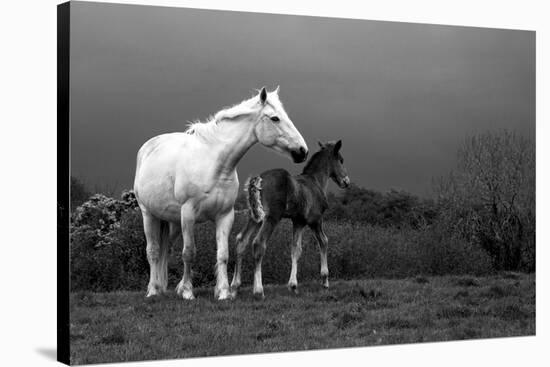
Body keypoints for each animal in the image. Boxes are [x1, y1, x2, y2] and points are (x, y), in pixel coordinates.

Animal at [132, 87, 308, 300]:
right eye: (275, 118)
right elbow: (189, 253)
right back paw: (153, 290)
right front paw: (188, 292)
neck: (214, 164)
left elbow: (223, 254)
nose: (302, 151)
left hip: (172, 221)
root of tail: (147, 147)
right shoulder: (188, 214)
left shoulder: (225, 215)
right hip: (149, 214)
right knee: (154, 251)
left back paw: (163, 287)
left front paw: (223, 292)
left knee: (166, 250)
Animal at [231, 139, 352, 298]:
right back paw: (258, 290)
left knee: (241, 241)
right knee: (259, 243)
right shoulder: (315, 220)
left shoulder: (298, 221)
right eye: (341, 160)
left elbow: (295, 249)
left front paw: (293, 285)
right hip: (272, 217)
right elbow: (323, 241)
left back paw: (234, 288)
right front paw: (324, 280)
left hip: (255, 217)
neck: (315, 182)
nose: (346, 182)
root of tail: (259, 180)